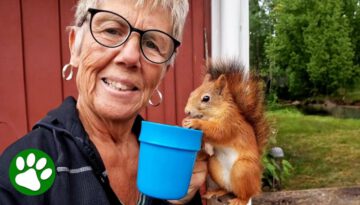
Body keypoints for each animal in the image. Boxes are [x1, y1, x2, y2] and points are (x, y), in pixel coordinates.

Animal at [184, 59, 268, 205]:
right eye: (192, 93)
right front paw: (185, 122)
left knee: (247, 195)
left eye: (206, 98)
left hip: (242, 169)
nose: (187, 111)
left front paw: (196, 123)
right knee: (228, 189)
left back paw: (239, 200)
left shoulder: (230, 123)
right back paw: (216, 192)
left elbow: (219, 132)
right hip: (214, 166)